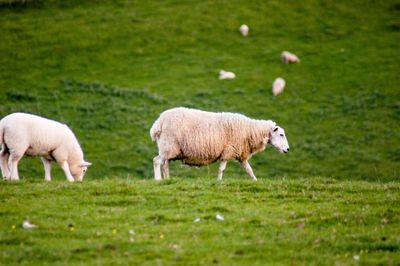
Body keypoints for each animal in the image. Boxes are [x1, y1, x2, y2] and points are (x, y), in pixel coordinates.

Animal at [148, 106, 290, 181]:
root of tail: (158, 123)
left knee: (164, 164)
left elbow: (249, 170)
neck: (250, 130)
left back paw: (167, 179)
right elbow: (222, 169)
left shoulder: (240, 154)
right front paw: (219, 181)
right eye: (281, 135)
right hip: (169, 145)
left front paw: (255, 181)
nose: (288, 150)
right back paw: (158, 180)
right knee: (156, 161)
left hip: (168, 147)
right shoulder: (228, 151)